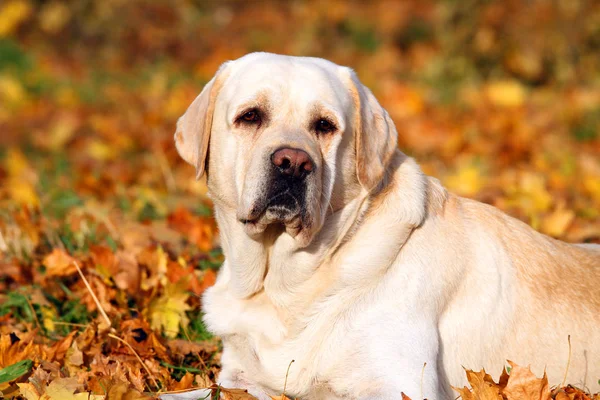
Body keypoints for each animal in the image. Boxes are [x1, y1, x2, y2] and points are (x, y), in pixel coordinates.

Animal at [170, 53, 600, 400]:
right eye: (251, 116)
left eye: (325, 125)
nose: (293, 163)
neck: (284, 285)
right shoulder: (237, 379)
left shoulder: (400, 384)